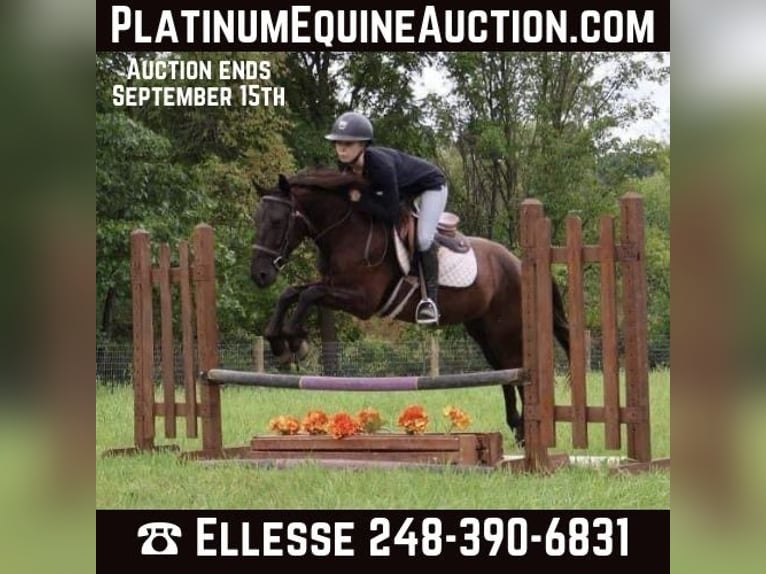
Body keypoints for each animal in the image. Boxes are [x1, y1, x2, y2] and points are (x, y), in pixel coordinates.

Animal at [250, 168, 570, 446]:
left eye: (277, 221)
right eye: (257, 220)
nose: (260, 275)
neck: (347, 231)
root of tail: (518, 263)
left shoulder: (361, 300)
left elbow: (308, 295)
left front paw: (296, 341)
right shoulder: (333, 285)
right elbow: (291, 293)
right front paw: (278, 342)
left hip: (506, 330)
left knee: (517, 373)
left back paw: (526, 433)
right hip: (484, 331)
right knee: (506, 374)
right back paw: (517, 428)